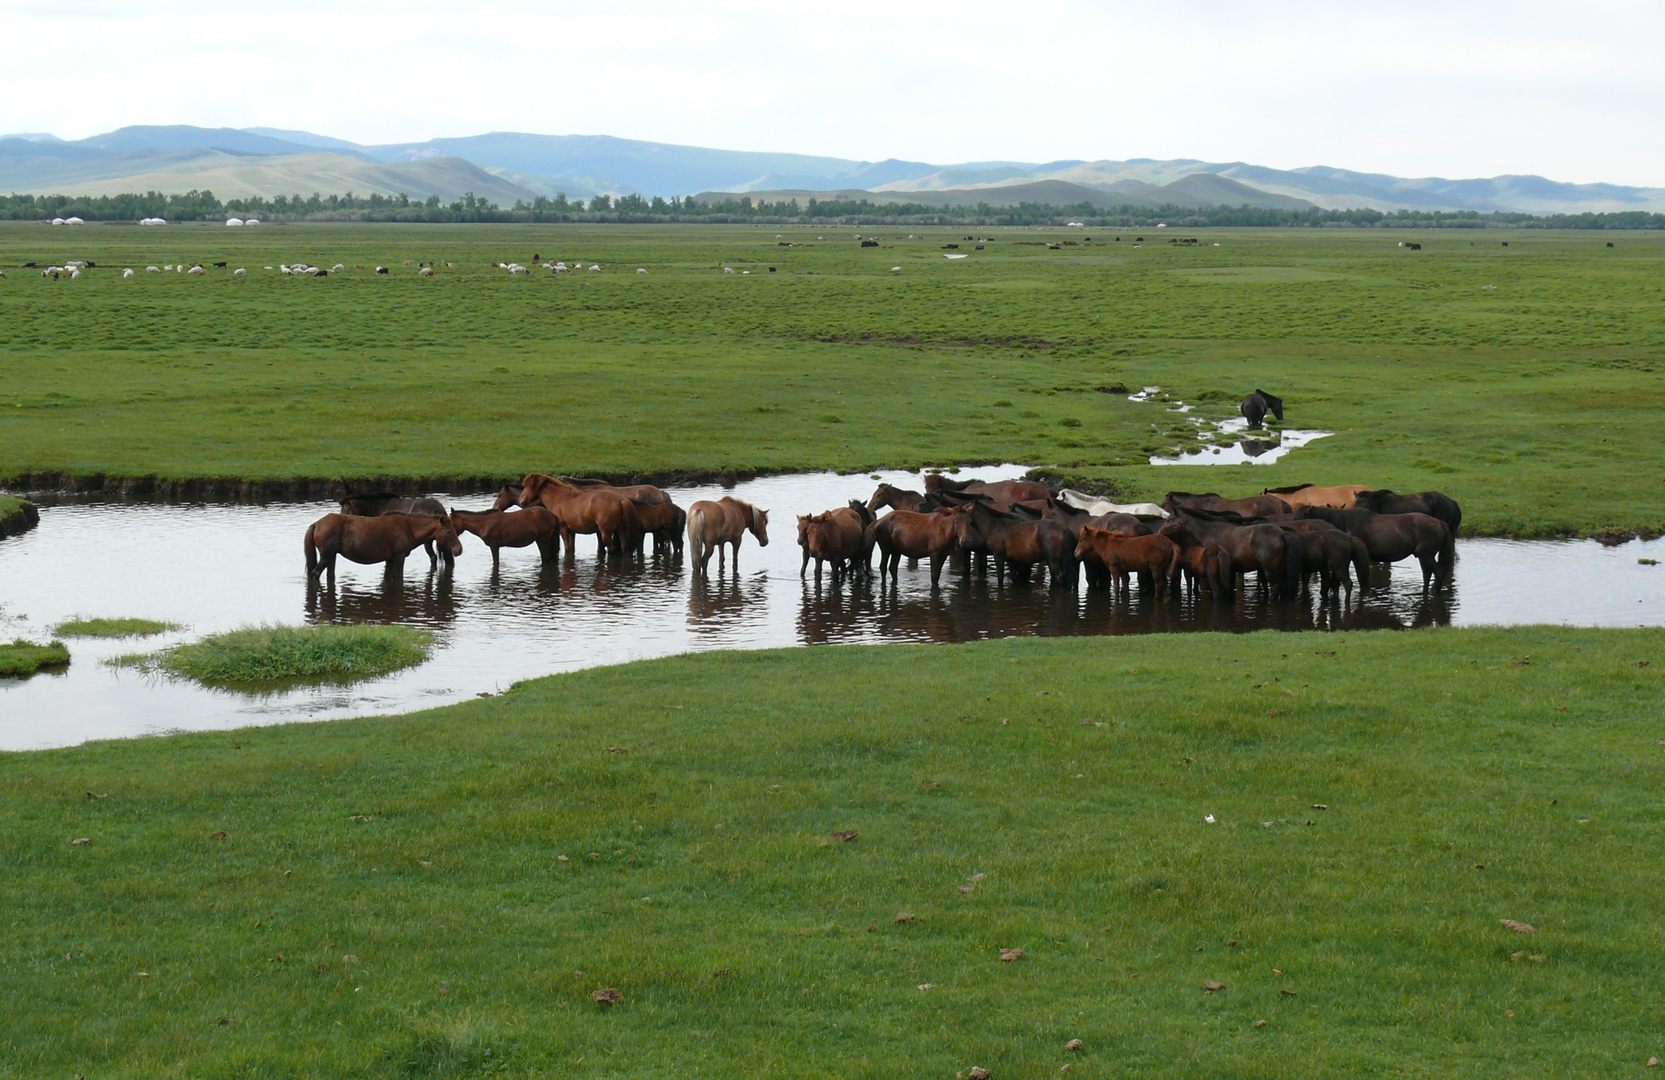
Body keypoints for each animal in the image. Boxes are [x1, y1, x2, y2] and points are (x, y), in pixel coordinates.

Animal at [304, 512, 462, 582]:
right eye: (449, 531)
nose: (459, 549)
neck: (407, 528)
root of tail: (316, 524)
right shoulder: (399, 557)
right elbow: (399, 577)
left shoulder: (390, 560)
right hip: (326, 557)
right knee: (314, 574)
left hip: (332, 557)